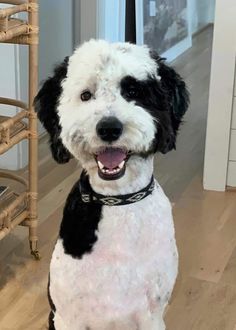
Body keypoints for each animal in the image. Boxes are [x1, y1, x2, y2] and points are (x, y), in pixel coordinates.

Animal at [35, 40, 189, 328]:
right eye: (86, 95)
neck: (118, 203)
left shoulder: (152, 315)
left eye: (133, 91)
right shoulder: (67, 316)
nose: (108, 128)